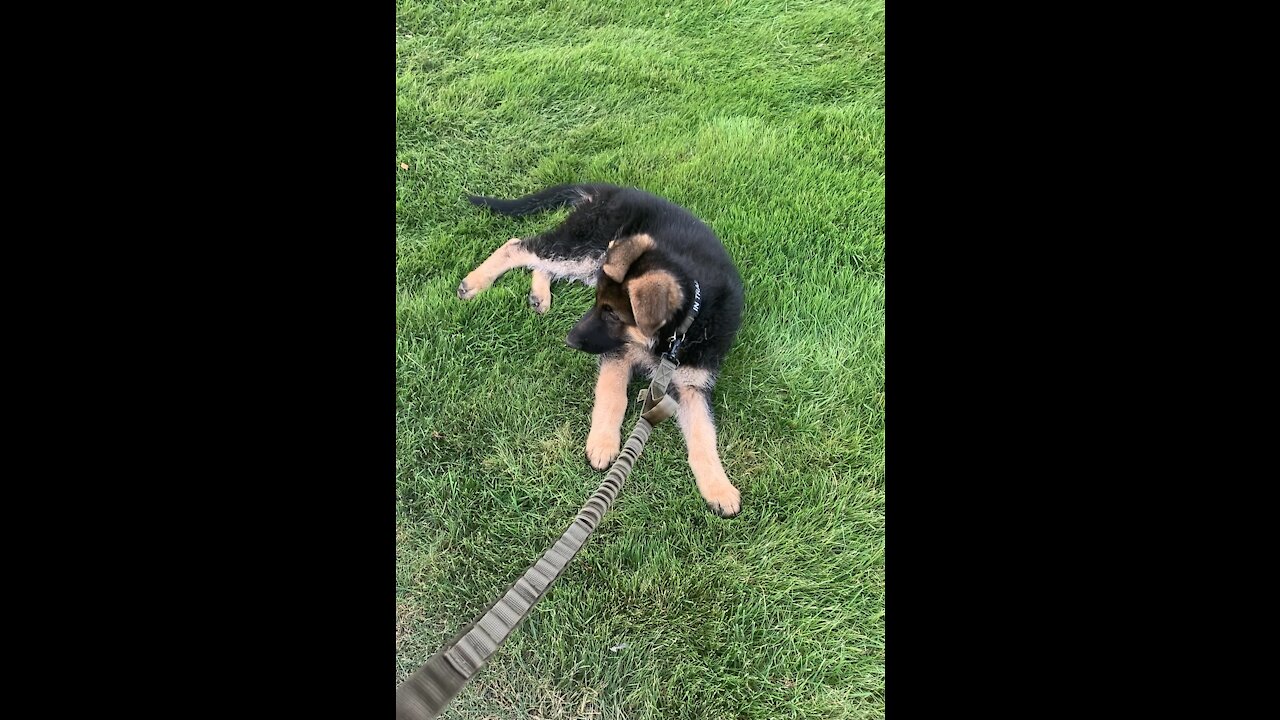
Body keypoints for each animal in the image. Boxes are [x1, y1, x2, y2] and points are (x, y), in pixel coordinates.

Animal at [460, 181, 747, 512]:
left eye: (611, 314)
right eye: (598, 305)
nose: (569, 341)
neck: (683, 326)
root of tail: (609, 190)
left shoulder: (692, 385)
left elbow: (703, 434)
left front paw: (719, 488)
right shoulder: (618, 353)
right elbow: (612, 396)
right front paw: (603, 444)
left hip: (592, 262)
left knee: (541, 263)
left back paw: (539, 295)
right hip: (587, 250)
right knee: (520, 246)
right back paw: (475, 282)